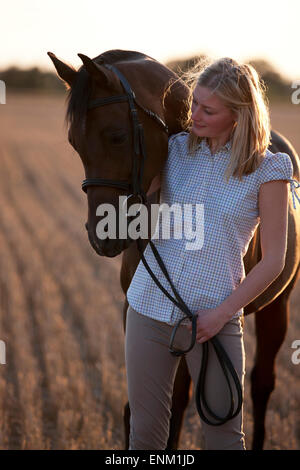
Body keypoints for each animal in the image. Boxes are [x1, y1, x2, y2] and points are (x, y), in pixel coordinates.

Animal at [48, 49, 298, 450]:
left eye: (117, 136)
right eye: (74, 142)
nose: (101, 236)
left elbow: (180, 398)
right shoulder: (138, 309)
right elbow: (144, 406)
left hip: (277, 306)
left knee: (261, 384)